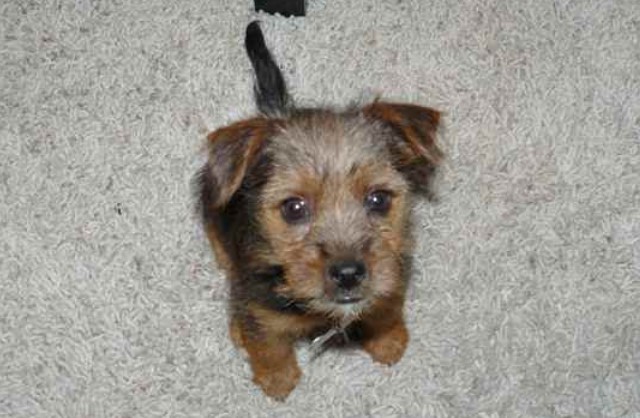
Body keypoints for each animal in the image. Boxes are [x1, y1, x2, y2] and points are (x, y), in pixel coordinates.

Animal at [198, 21, 442, 400]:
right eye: (294, 207)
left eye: (379, 199)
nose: (348, 274)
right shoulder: (262, 311)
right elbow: (268, 345)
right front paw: (278, 380)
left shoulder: (392, 273)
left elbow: (386, 305)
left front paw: (388, 341)